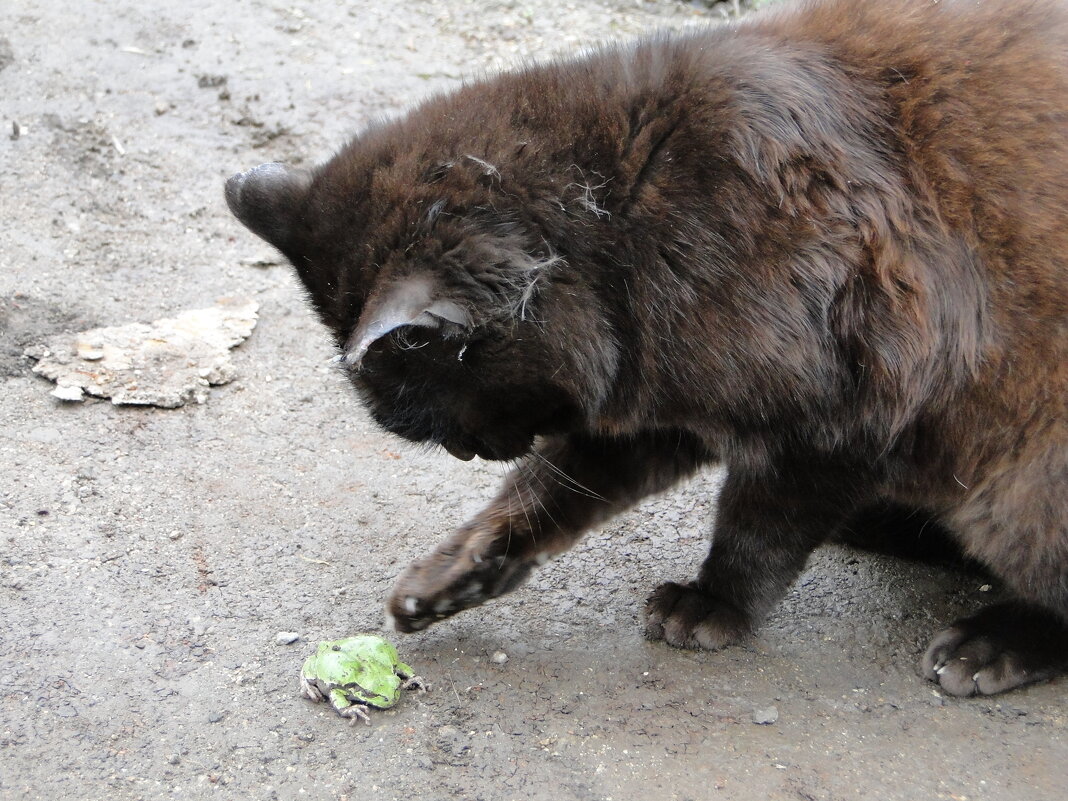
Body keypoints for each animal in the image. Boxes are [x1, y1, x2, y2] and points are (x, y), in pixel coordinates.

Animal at [227, 0, 1068, 696]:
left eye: (441, 414)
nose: (472, 452)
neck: (630, 218)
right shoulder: (663, 400)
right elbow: (546, 490)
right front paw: (456, 572)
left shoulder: (841, 415)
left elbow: (756, 526)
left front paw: (714, 601)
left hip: (1029, 480)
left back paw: (996, 642)